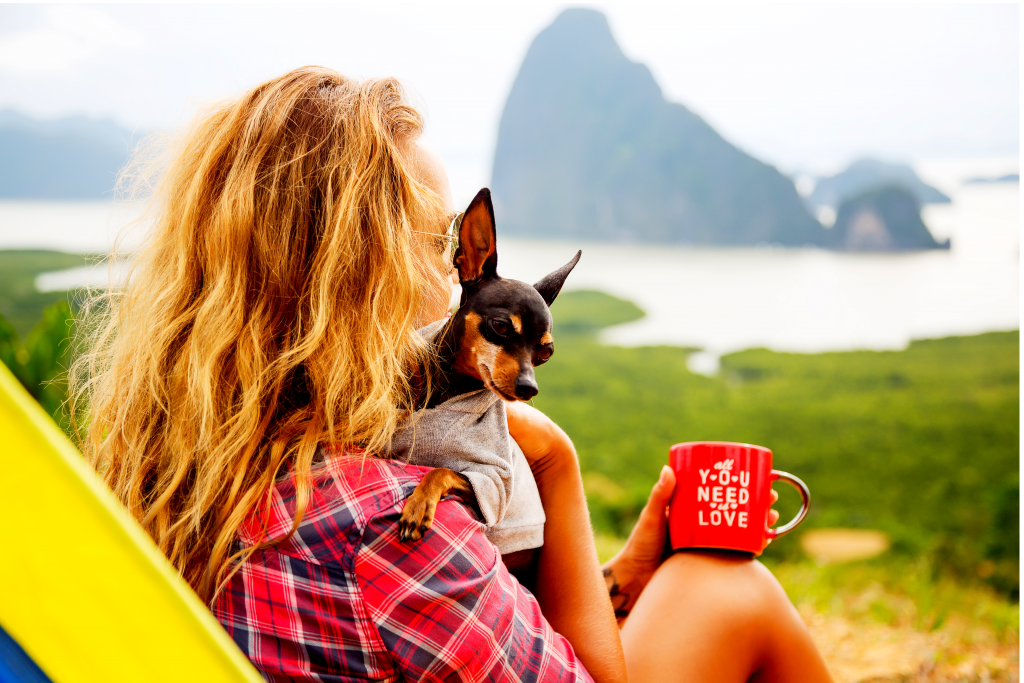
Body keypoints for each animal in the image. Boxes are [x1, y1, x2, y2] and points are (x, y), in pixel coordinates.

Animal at [395, 187, 581, 557]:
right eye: (501, 326)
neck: (447, 387)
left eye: (546, 353)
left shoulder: (490, 481)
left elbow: (441, 470)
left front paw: (419, 505)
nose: (529, 388)